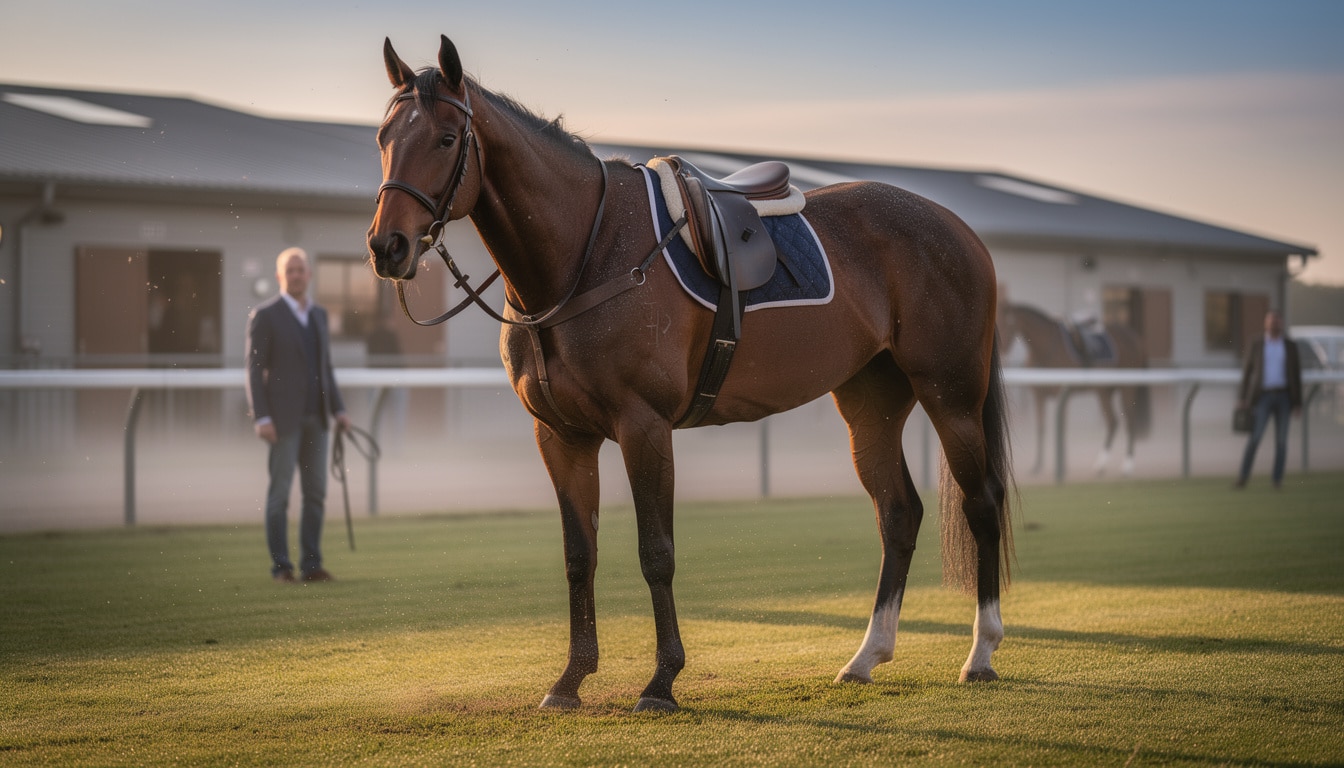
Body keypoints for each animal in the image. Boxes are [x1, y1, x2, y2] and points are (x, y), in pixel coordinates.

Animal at [367, 35, 1015, 713]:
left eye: (446, 139)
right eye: (384, 137)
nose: (388, 247)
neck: (588, 254)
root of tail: (957, 229)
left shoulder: (643, 427)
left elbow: (657, 554)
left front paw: (661, 680)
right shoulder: (561, 437)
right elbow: (579, 557)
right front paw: (570, 680)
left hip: (952, 398)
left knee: (981, 503)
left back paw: (981, 652)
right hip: (871, 406)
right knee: (898, 514)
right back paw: (867, 656)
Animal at [997, 303, 1150, 477]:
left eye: (1008, 323)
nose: (1000, 349)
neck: (1044, 349)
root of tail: (1135, 338)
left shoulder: (1062, 395)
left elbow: (1062, 428)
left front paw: (1062, 468)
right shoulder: (1039, 396)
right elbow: (1041, 428)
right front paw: (1037, 466)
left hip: (1127, 388)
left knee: (1129, 421)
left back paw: (1127, 466)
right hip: (1104, 391)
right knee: (1113, 422)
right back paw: (1100, 465)